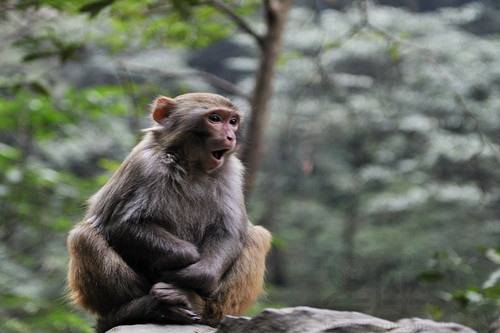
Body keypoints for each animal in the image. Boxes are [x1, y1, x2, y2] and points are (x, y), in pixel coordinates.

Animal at [66, 92, 272, 330]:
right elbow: (121, 224)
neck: (192, 166)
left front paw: (194, 274)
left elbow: (230, 232)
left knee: (257, 237)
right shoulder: (144, 165)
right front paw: (184, 259)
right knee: (83, 236)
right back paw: (136, 310)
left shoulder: (232, 173)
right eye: (215, 118)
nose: (231, 137)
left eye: (233, 121)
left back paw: (197, 306)